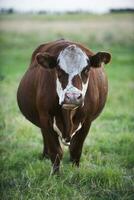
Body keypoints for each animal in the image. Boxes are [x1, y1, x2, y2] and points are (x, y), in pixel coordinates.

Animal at [17, 39, 111, 173]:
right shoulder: (45, 118)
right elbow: (56, 152)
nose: (72, 97)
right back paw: (45, 156)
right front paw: (55, 175)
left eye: (86, 69)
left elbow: (75, 149)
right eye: (59, 69)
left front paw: (75, 171)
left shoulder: (87, 121)